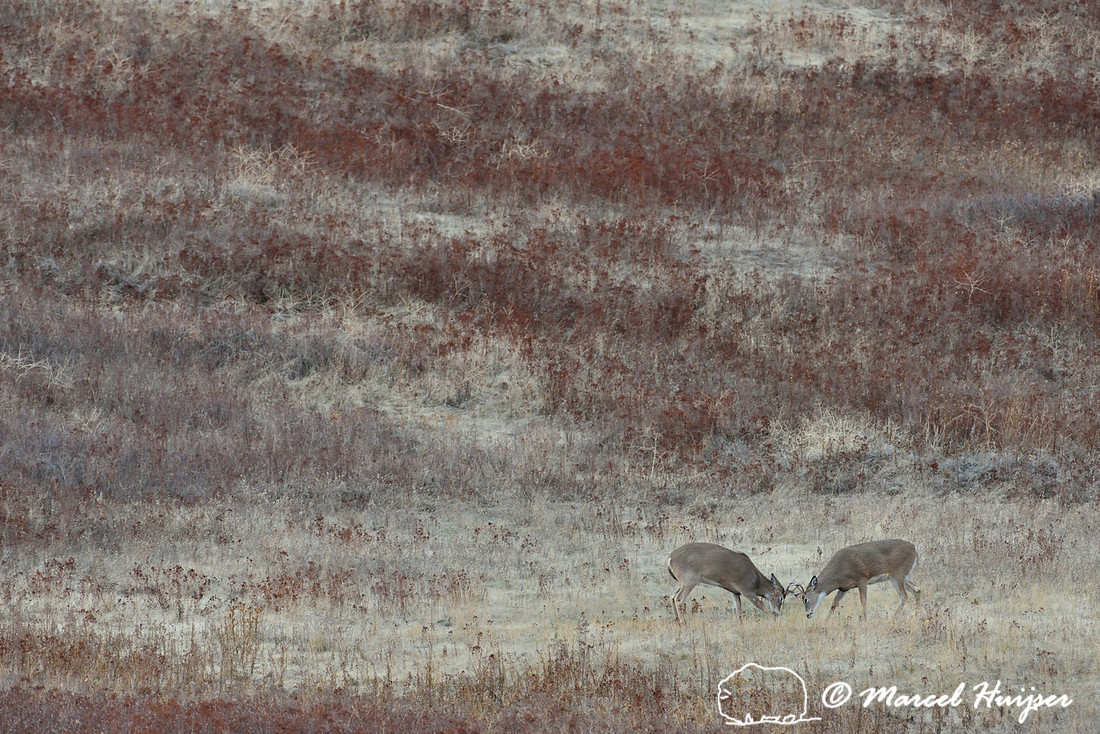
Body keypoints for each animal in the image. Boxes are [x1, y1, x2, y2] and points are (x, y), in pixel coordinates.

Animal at [789, 539, 920, 620]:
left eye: (805, 599)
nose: (808, 615)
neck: (839, 573)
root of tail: (915, 548)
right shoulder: (844, 587)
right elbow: (834, 604)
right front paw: (826, 621)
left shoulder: (862, 578)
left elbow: (863, 601)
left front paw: (865, 620)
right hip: (903, 575)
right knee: (917, 589)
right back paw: (916, 614)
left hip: (897, 574)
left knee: (904, 596)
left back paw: (893, 618)